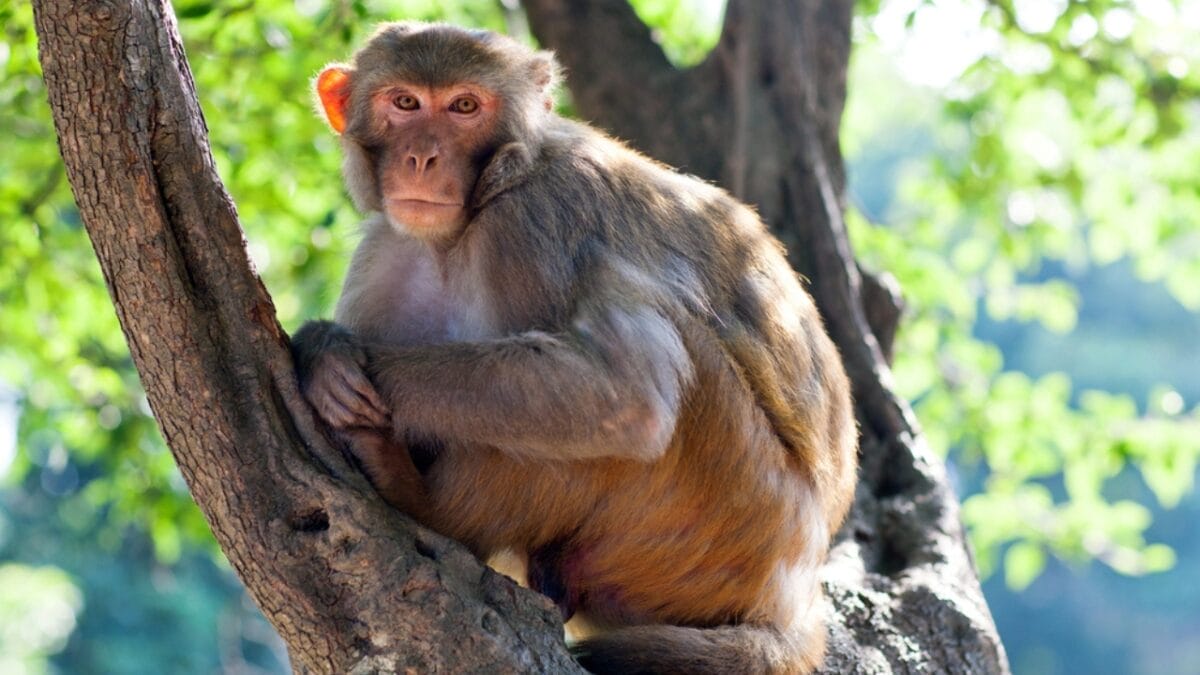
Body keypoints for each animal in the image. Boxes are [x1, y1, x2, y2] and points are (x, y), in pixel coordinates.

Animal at [290, 22, 857, 675]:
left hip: (728, 510)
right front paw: (325, 347)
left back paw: (423, 501)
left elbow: (624, 393)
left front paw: (327, 363)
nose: (422, 158)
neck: (467, 220)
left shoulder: (536, 219)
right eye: (405, 103)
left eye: (464, 107)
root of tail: (795, 592)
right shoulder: (388, 248)